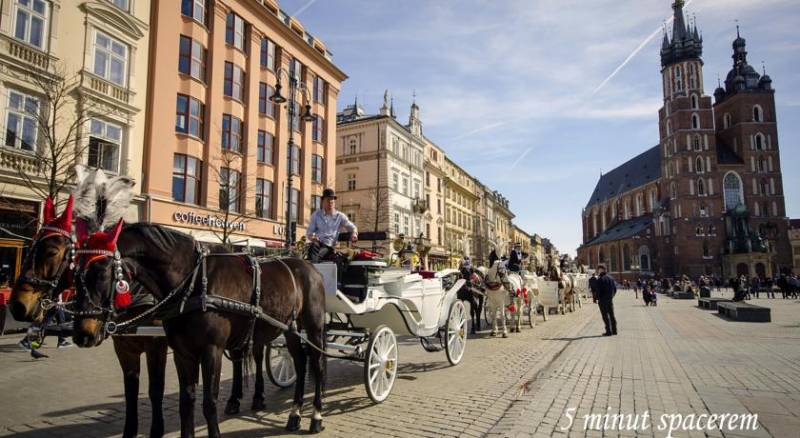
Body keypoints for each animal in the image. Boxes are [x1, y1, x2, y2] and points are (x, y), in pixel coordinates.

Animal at [72, 224, 328, 436]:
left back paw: (315, 416)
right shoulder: (182, 353)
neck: (193, 283)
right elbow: (186, 402)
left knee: (316, 363)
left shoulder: (210, 351)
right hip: (290, 328)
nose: (81, 335)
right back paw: (294, 414)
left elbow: (209, 402)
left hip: (313, 326)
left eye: (102, 272)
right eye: (74, 272)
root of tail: (308, 265)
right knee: (300, 363)